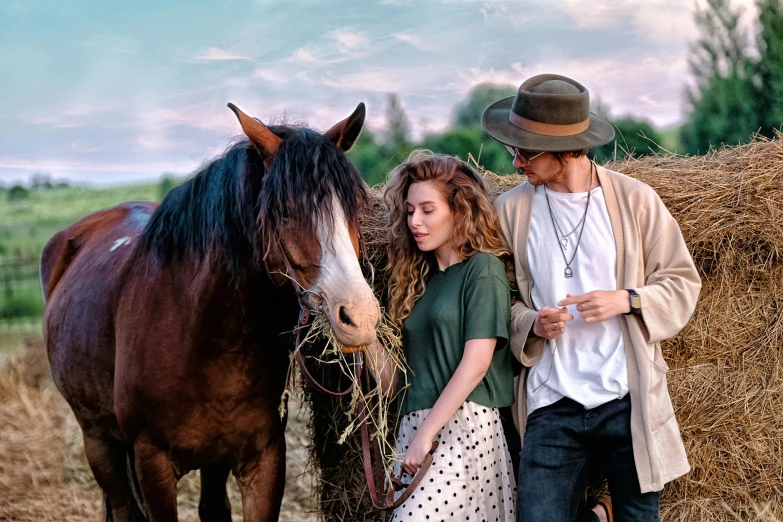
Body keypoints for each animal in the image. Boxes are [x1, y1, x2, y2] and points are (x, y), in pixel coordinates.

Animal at [39, 103, 388, 520]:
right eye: (285, 211)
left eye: (354, 208)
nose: (360, 316)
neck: (200, 333)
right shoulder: (151, 463)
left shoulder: (264, 460)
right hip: (98, 441)